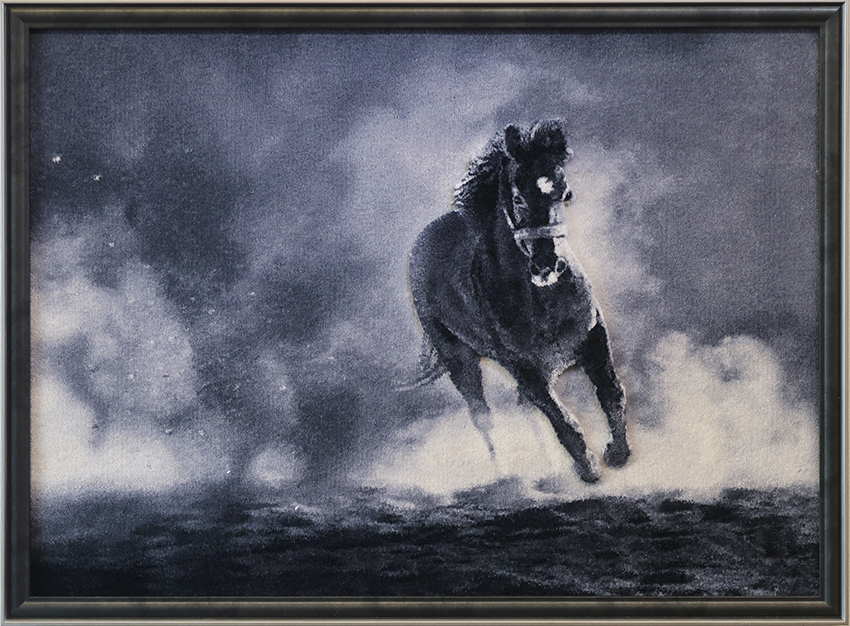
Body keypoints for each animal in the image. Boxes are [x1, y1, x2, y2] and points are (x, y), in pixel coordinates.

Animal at [407, 120, 630, 483]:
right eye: (517, 198)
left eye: (565, 194)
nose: (547, 265)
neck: (544, 302)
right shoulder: (525, 369)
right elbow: (562, 421)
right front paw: (588, 469)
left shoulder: (594, 339)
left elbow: (612, 393)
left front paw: (617, 453)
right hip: (459, 360)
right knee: (483, 418)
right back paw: (507, 474)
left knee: (522, 408)